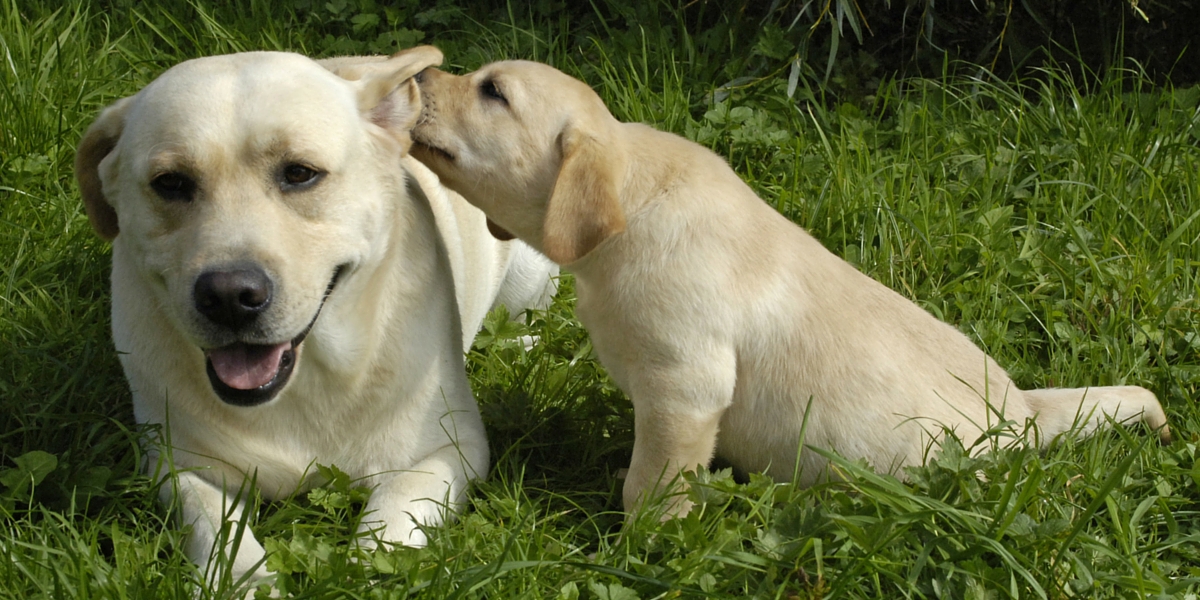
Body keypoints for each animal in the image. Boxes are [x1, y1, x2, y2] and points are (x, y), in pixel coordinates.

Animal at [73, 49, 556, 588]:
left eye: (300, 174)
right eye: (171, 184)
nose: (230, 296)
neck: (310, 376)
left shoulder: (452, 450)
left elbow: (391, 512)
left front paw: (362, 572)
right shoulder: (177, 465)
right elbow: (216, 527)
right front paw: (248, 583)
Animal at [410, 63, 1171, 518]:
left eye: (493, 92)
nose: (419, 72)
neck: (636, 200)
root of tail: (1022, 415)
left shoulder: (685, 390)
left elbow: (651, 484)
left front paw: (644, 543)